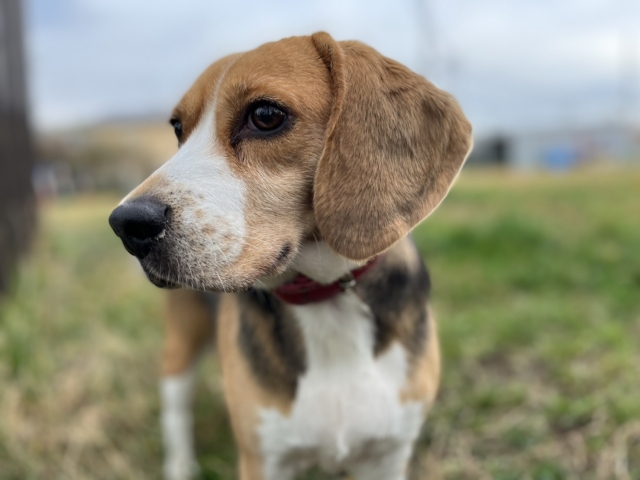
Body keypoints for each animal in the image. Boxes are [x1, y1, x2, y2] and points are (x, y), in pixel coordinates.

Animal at [109, 31, 470, 478]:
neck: (327, 300)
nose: (127, 224)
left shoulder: (388, 455)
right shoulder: (264, 460)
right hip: (182, 342)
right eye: (178, 128)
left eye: (265, 115)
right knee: (175, 412)